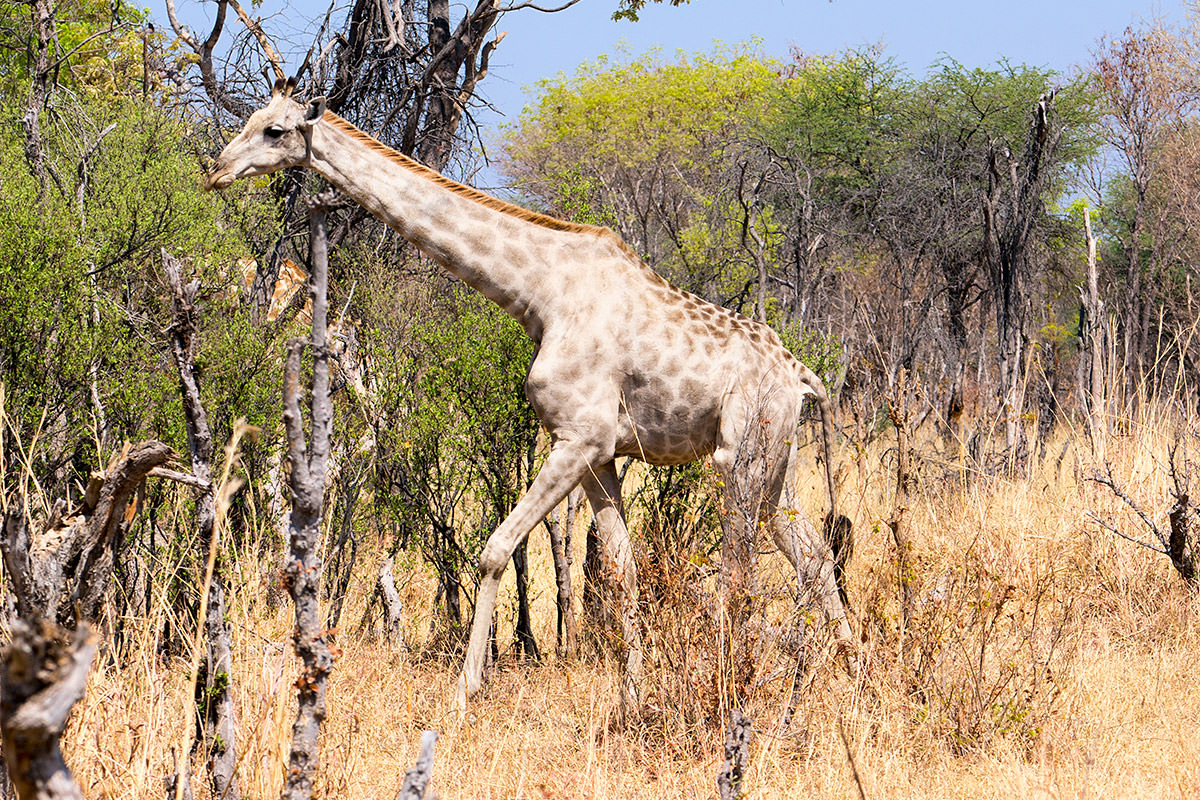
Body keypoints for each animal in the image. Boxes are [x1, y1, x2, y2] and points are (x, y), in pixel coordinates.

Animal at [211, 81, 859, 710]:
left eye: (274, 130)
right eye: (251, 120)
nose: (217, 169)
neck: (541, 294)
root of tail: (802, 375)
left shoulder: (580, 437)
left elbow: (496, 548)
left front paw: (466, 690)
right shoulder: (600, 454)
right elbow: (620, 569)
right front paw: (632, 699)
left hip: (740, 457)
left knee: (740, 570)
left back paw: (736, 688)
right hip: (779, 461)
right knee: (814, 558)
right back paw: (859, 680)